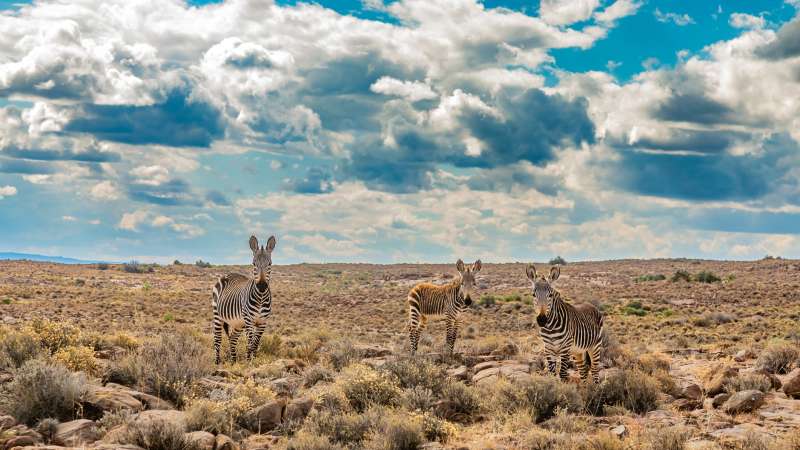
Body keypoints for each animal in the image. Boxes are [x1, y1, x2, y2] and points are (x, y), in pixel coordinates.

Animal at [212, 235, 276, 364]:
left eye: (270, 264)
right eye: (254, 264)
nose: (262, 286)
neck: (261, 297)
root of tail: (227, 274)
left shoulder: (262, 322)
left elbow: (256, 343)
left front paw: (254, 360)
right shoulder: (249, 320)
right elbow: (250, 343)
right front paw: (248, 361)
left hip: (238, 323)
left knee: (232, 338)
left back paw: (233, 361)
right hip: (217, 315)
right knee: (217, 339)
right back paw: (217, 362)